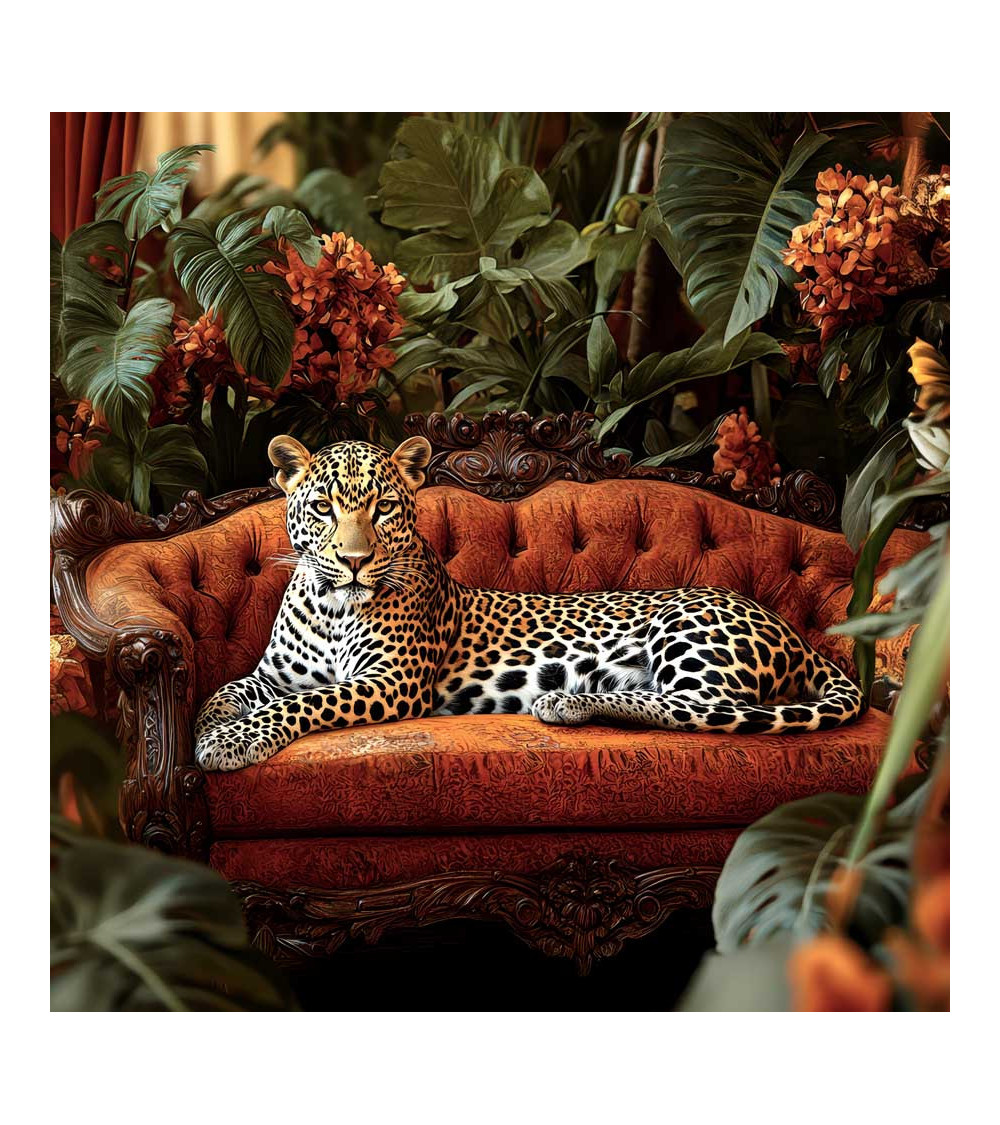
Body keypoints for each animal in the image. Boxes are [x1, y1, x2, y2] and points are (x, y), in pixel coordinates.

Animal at [194, 434, 866, 771]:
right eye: (322, 507)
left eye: (382, 508)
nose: (355, 560)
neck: (334, 606)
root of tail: (790, 630)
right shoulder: (273, 674)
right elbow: (230, 689)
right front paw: (208, 723)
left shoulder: (392, 682)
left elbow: (306, 704)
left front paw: (231, 742)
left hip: (685, 628)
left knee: (707, 709)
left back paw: (565, 700)